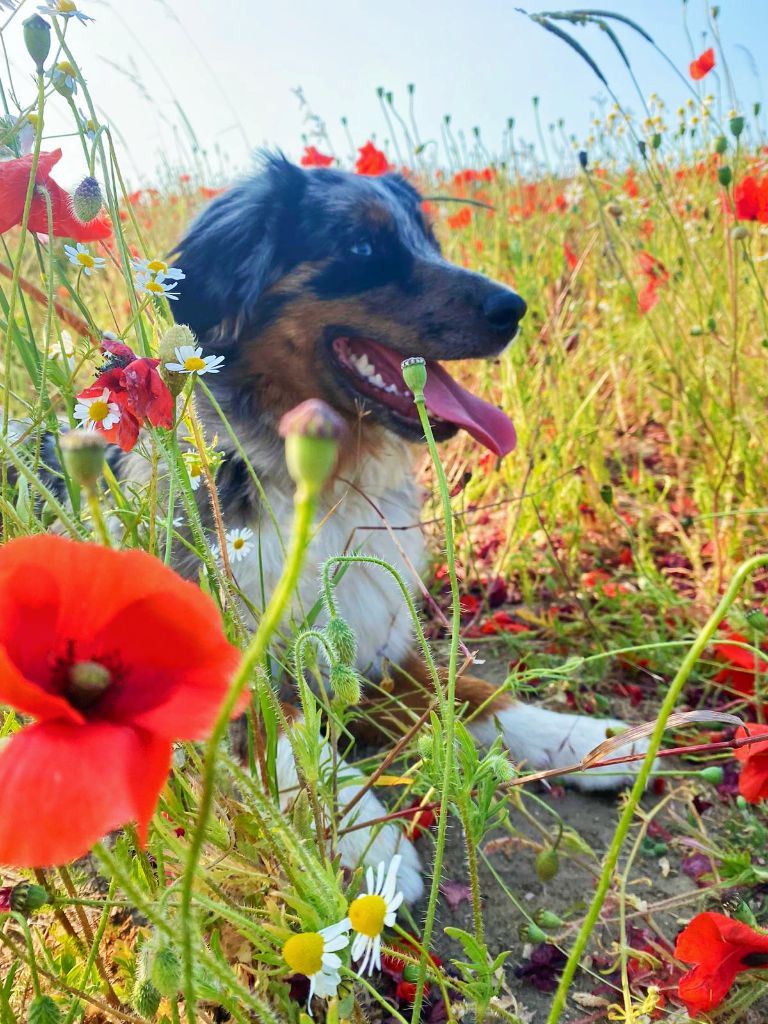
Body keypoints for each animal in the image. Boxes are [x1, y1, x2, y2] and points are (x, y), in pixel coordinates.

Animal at [132, 155, 651, 901]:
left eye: (427, 239)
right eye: (361, 246)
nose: (514, 308)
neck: (322, 490)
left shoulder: (373, 642)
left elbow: (474, 695)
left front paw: (586, 740)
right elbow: (294, 732)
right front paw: (369, 840)